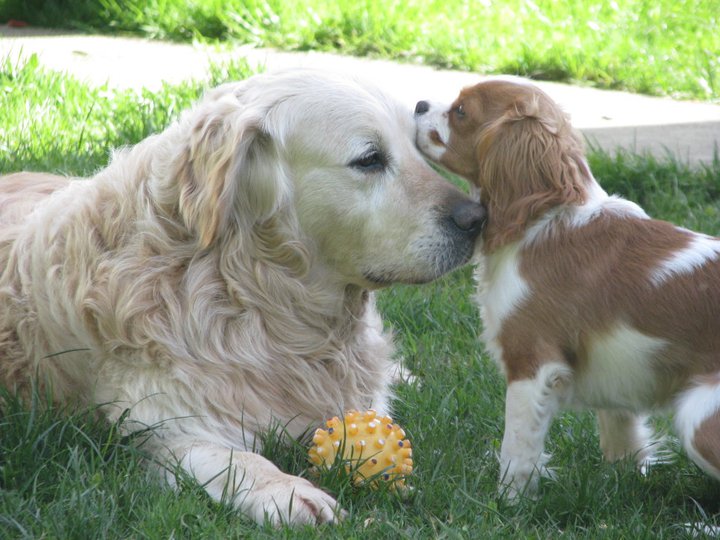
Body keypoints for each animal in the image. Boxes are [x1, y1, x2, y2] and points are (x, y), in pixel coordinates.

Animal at [0, 68, 486, 528]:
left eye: (417, 147)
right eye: (369, 159)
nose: (477, 218)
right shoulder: (157, 429)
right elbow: (235, 457)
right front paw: (288, 491)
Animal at [414, 79, 720, 498]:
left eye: (460, 111)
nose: (417, 104)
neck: (544, 218)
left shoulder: (531, 364)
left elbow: (517, 449)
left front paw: (506, 501)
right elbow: (620, 430)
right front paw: (624, 477)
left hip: (699, 418)